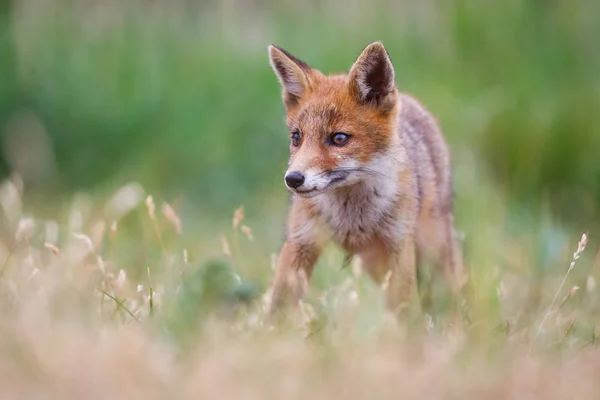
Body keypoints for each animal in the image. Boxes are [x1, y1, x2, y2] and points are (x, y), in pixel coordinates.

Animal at [268, 42, 464, 318]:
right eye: (297, 138)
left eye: (339, 138)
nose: (293, 179)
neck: (351, 220)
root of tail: (411, 101)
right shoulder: (300, 241)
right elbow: (278, 309)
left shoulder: (398, 245)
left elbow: (408, 311)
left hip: (432, 250)